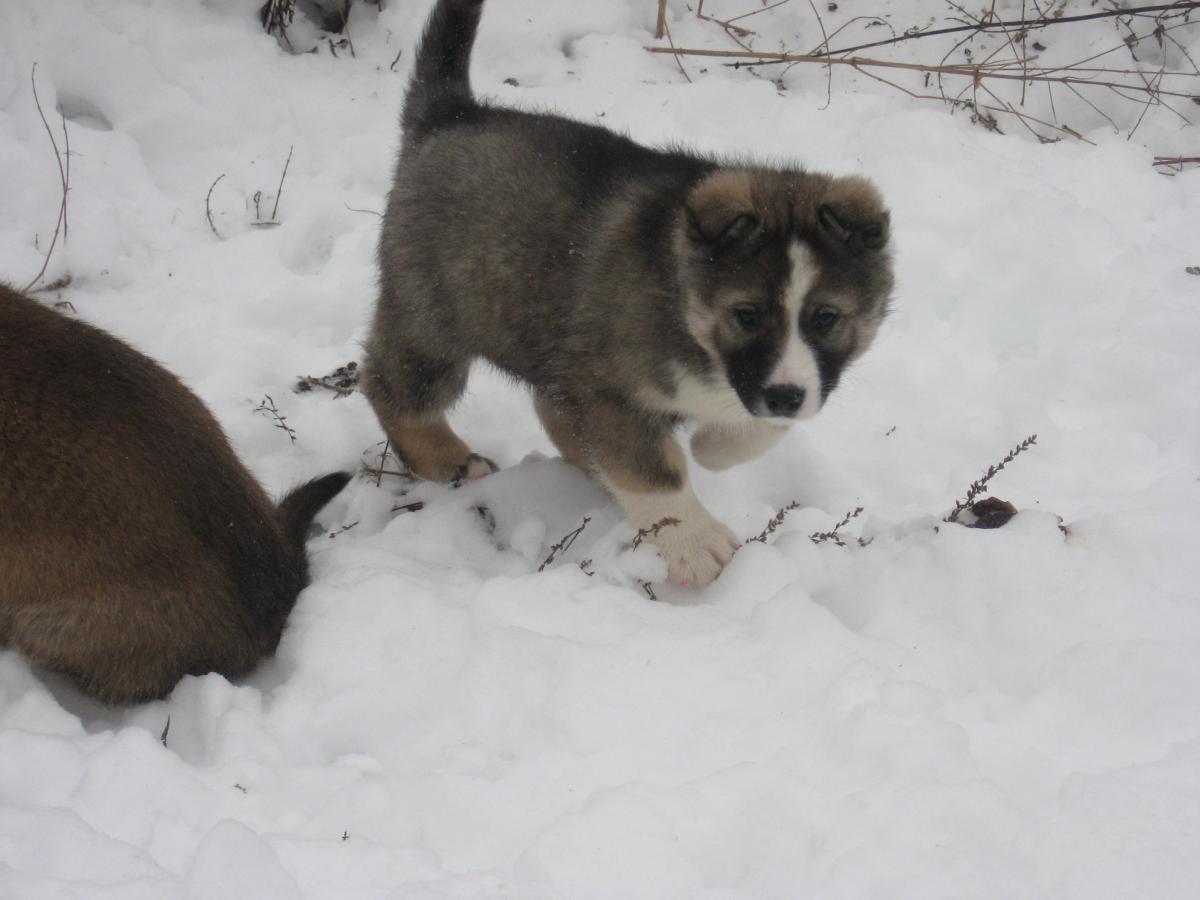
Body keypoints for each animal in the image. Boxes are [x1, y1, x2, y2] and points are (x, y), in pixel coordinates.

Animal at [362, 0, 892, 585]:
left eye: (826, 317)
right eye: (747, 314)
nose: (784, 396)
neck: (684, 307)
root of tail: (450, 114)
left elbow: (756, 429)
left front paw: (712, 448)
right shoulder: (609, 389)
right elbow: (654, 471)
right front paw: (694, 543)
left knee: (553, 411)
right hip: (431, 322)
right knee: (391, 387)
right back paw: (448, 458)